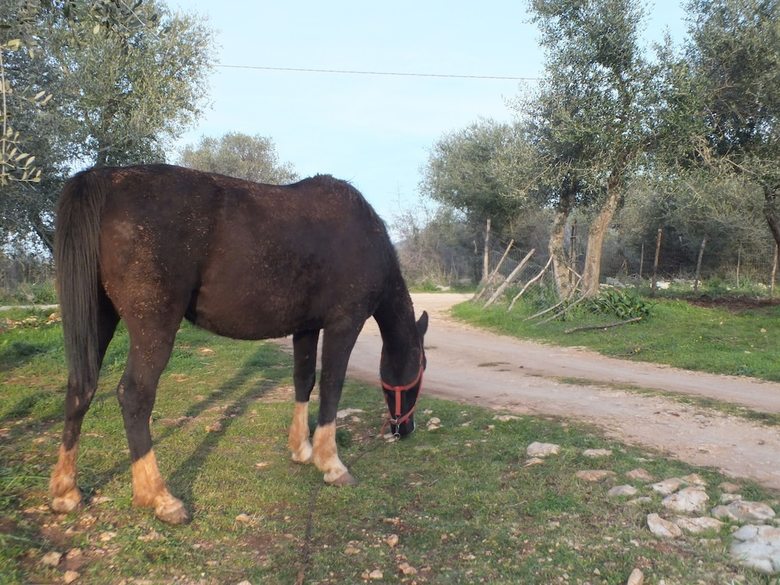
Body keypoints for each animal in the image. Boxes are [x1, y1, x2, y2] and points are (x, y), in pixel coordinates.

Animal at [49, 164, 427, 524]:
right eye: (422, 367)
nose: (405, 429)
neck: (365, 235)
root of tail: (105, 179)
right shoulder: (344, 324)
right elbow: (332, 387)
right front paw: (331, 464)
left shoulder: (306, 328)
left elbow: (304, 380)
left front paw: (301, 449)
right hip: (153, 325)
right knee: (134, 396)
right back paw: (160, 497)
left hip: (99, 316)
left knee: (80, 388)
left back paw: (66, 491)